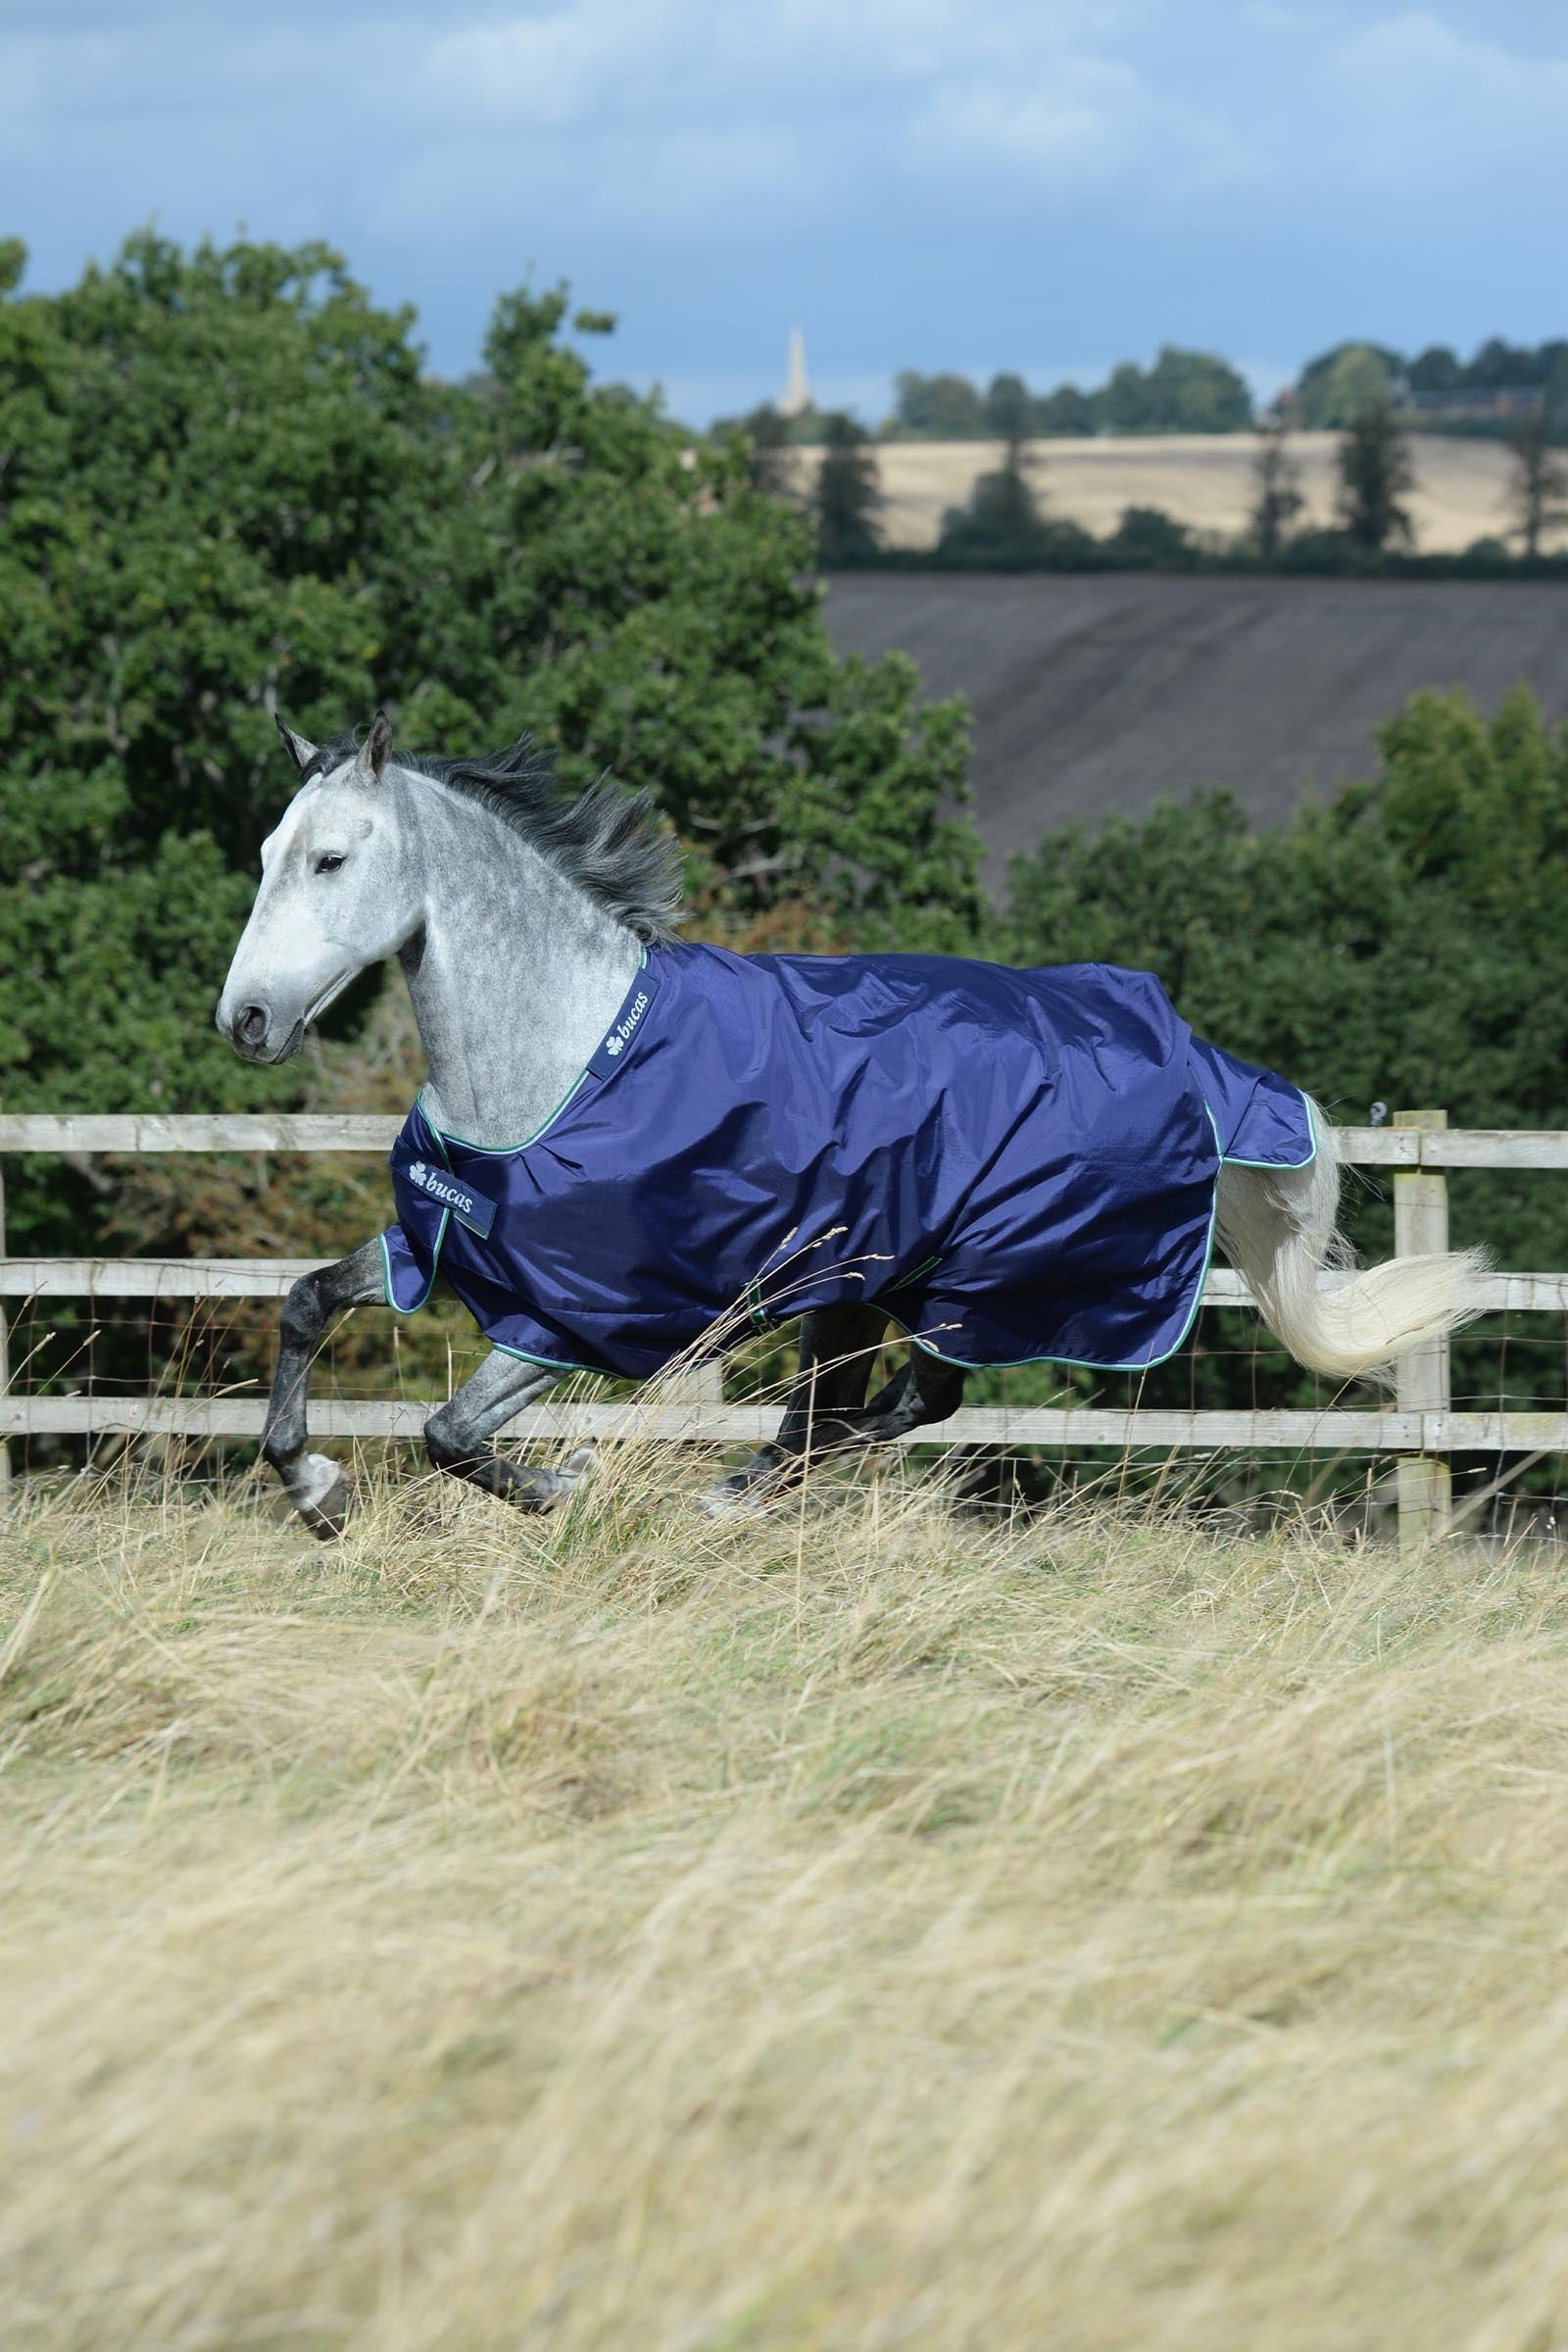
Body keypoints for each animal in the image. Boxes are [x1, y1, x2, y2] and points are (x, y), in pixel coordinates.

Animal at [216, 710, 1487, 1537]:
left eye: (332, 859)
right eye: (268, 852)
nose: (246, 1019)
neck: (566, 1056)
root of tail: (1189, 1056)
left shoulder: (570, 1314)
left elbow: (449, 1433)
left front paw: (559, 1486)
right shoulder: (445, 1244)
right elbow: (307, 1305)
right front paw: (315, 1493)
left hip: (965, 1282)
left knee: (899, 1405)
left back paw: (727, 1495)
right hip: (866, 1283)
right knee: (865, 1409)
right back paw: (745, 1490)